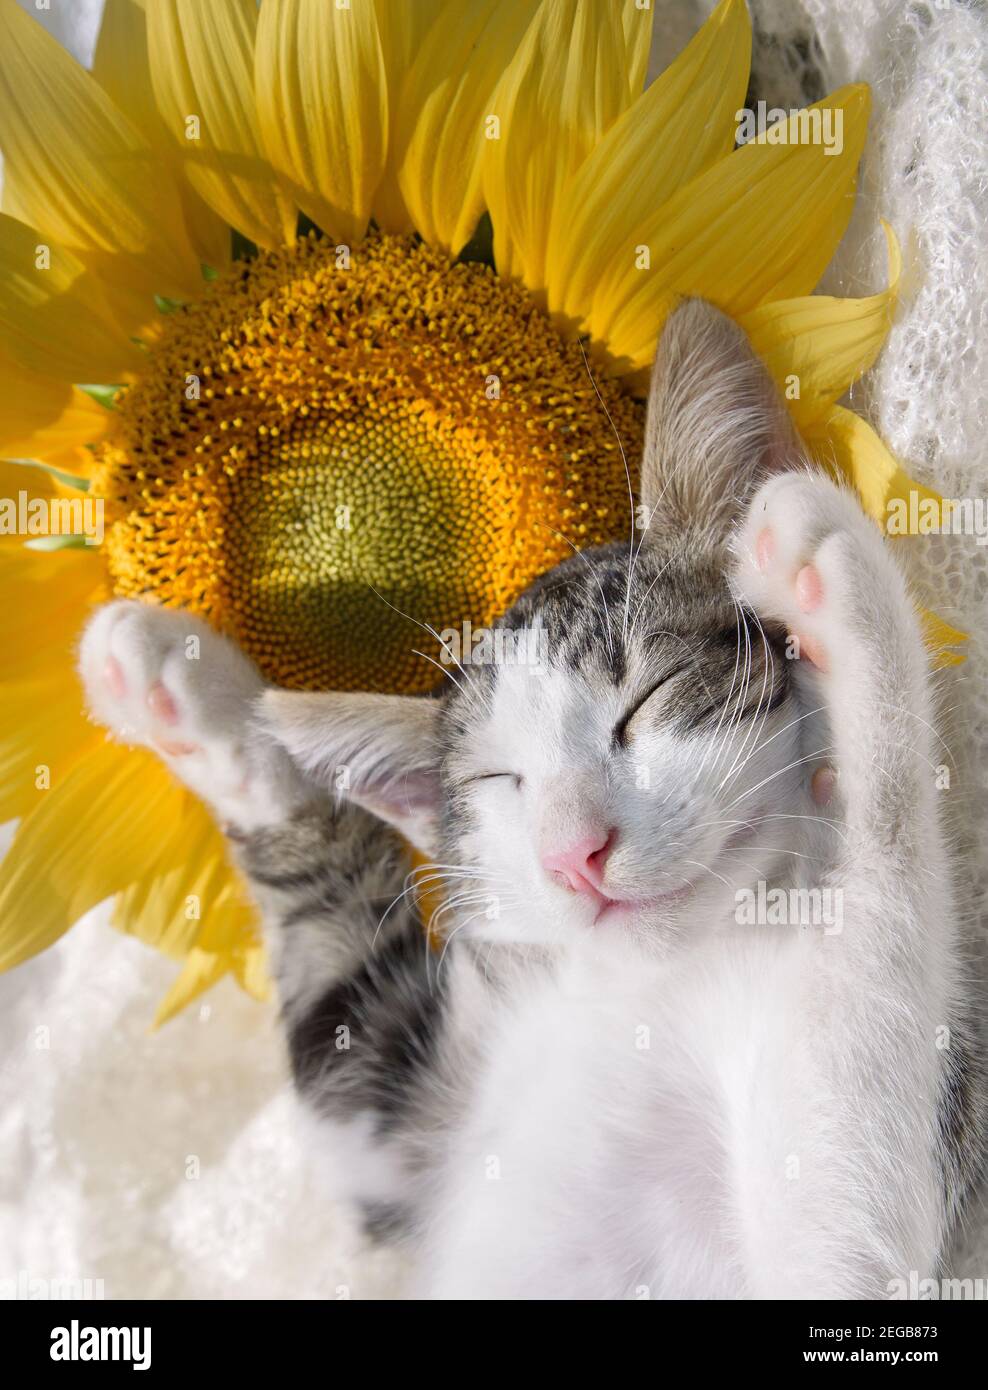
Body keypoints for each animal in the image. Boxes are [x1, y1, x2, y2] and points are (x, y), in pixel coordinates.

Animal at [79, 298, 983, 1295]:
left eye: (647, 699)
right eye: (496, 782)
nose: (572, 854)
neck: (665, 981)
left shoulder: (855, 1250)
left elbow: (864, 973)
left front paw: (830, 570)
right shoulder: (415, 1135)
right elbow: (343, 1005)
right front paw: (205, 691)